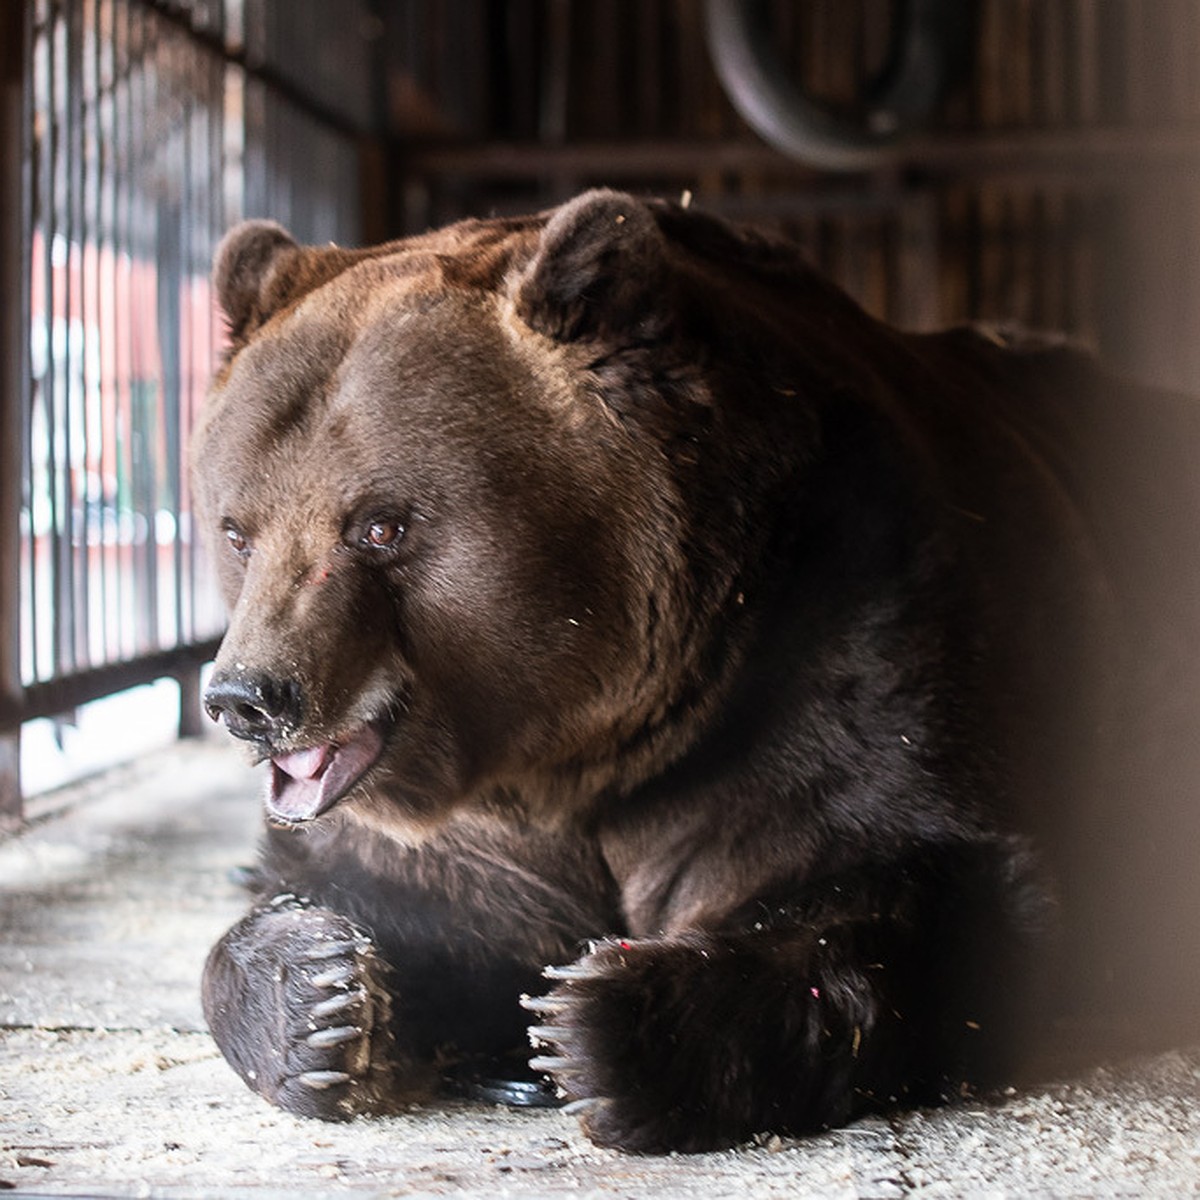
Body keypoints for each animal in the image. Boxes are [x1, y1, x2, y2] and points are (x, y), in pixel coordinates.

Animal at [192, 187, 1200, 1152]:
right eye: (237, 529)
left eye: (381, 525)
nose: (249, 697)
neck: (584, 739)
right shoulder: (476, 821)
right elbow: (393, 896)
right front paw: (319, 995)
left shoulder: (841, 646)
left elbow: (897, 879)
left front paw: (602, 1023)